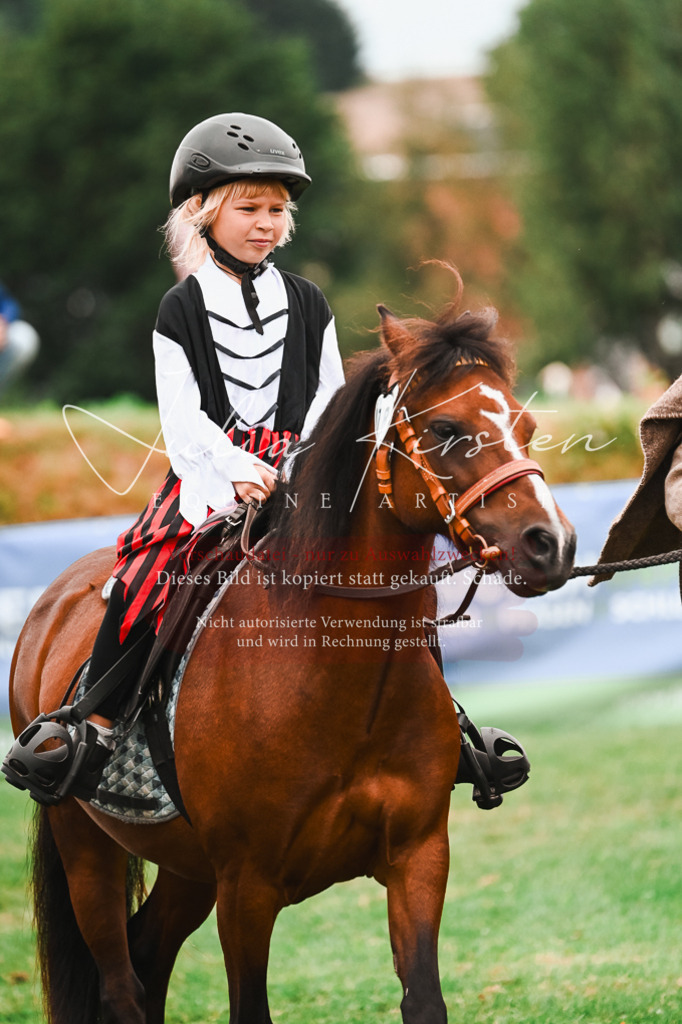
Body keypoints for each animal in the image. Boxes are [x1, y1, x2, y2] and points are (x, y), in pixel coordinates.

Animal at [8, 297, 576, 1024]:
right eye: (446, 429)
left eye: (527, 427)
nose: (550, 544)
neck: (338, 688)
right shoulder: (247, 889)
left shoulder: (419, 859)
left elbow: (424, 998)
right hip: (87, 848)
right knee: (121, 983)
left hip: (186, 869)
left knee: (149, 956)